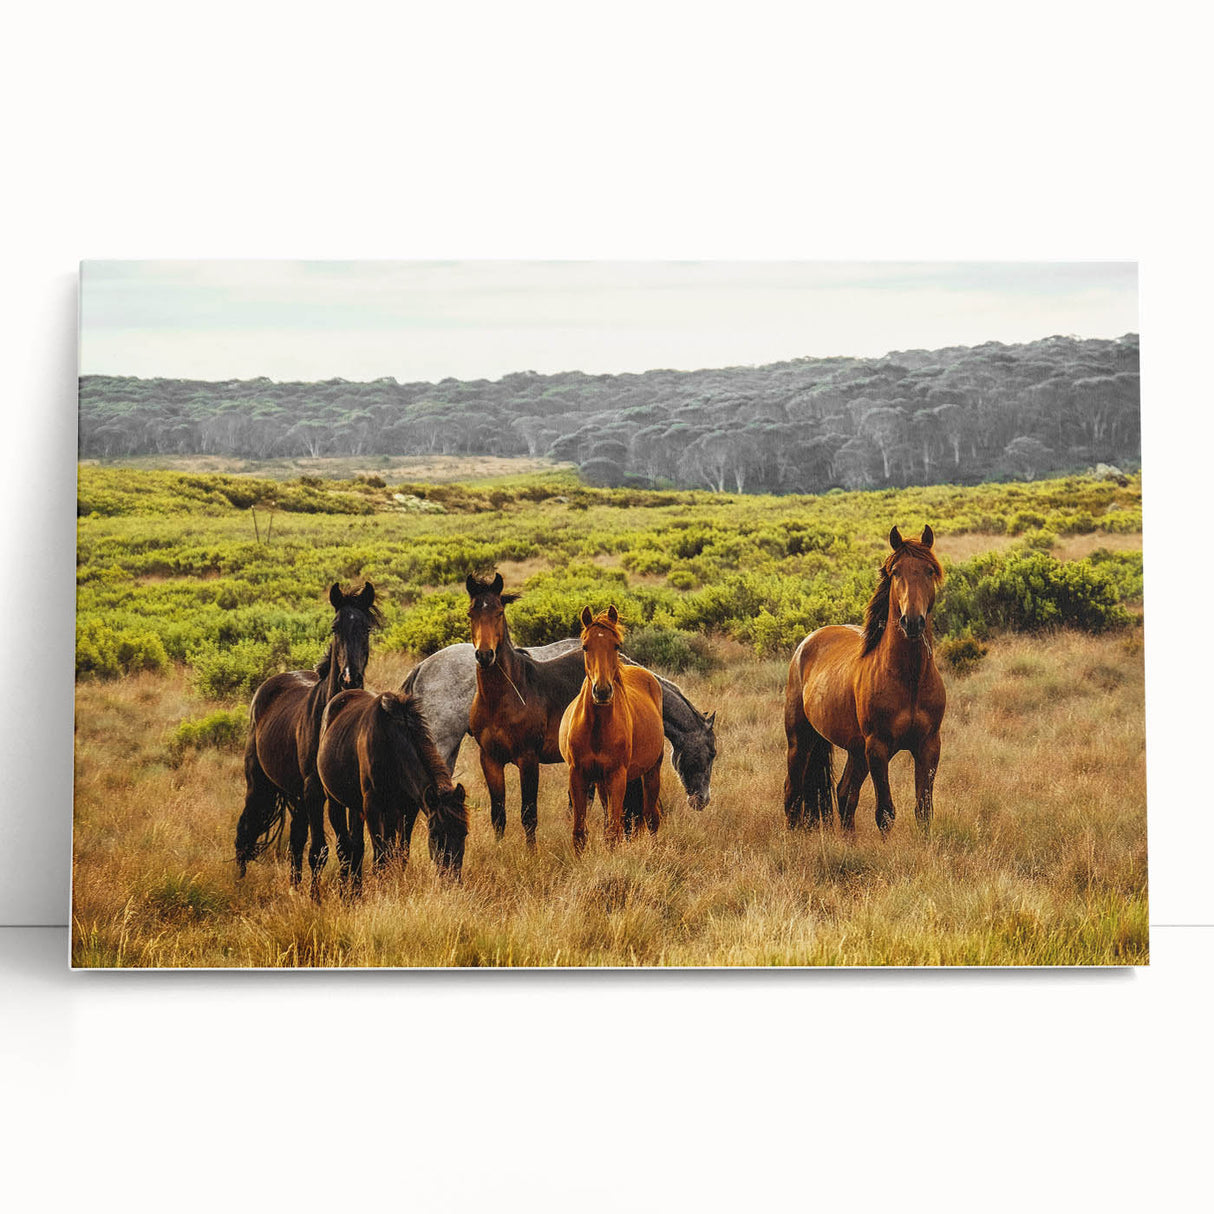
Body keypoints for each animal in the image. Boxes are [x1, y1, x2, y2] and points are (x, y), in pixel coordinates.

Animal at [234, 581, 381, 897]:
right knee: (246, 830)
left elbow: (353, 847)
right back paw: (240, 882)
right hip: (260, 785)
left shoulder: (347, 795)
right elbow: (320, 850)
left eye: (366, 628)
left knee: (295, 841)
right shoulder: (315, 791)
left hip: (296, 796)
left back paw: (294, 886)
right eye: (335, 627)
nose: (350, 679)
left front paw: (352, 894)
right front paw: (317, 899)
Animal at [317, 690, 468, 891]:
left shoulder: (408, 809)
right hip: (335, 802)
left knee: (357, 846)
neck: (391, 744)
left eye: (464, 833)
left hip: (365, 809)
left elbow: (400, 853)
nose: (452, 880)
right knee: (344, 847)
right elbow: (381, 857)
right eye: (436, 835)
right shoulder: (372, 807)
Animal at [560, 606, 665, 852]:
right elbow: (579, 832)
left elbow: (613, 832)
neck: (597, 729)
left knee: (651, 817)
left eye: (616, 645)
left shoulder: (618, 776)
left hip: (652, 771)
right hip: (601, 781)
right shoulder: (578, 775)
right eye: (585, 646)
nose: (602, 691)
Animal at [783, 526, 945, 835]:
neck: (908, 678)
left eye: (929, 570)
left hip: (856, 751)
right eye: (895, 572)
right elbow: (885, 813)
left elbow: (924, 810)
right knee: (792, 793)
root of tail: (808, 642)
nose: (912, 622)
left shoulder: (928, 746)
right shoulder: (878, 748)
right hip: (801, 740)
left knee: (845, 793)